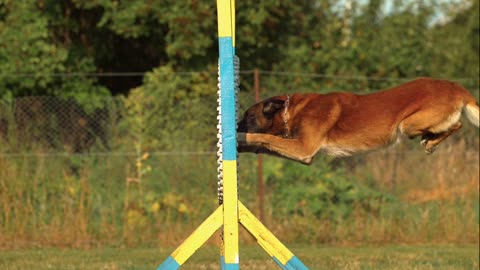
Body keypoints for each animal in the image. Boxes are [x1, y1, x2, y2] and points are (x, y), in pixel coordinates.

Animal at [237, 77, 480, 163]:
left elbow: (264, 137)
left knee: (457, 124)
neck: (292, 110)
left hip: (406, 124)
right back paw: (430, 141)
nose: (235, 125)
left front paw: (240, 135)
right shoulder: (302, 154)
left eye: (248, 116)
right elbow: (264, 143)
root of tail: (458, 88)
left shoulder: (303, 149)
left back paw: (430, 142)